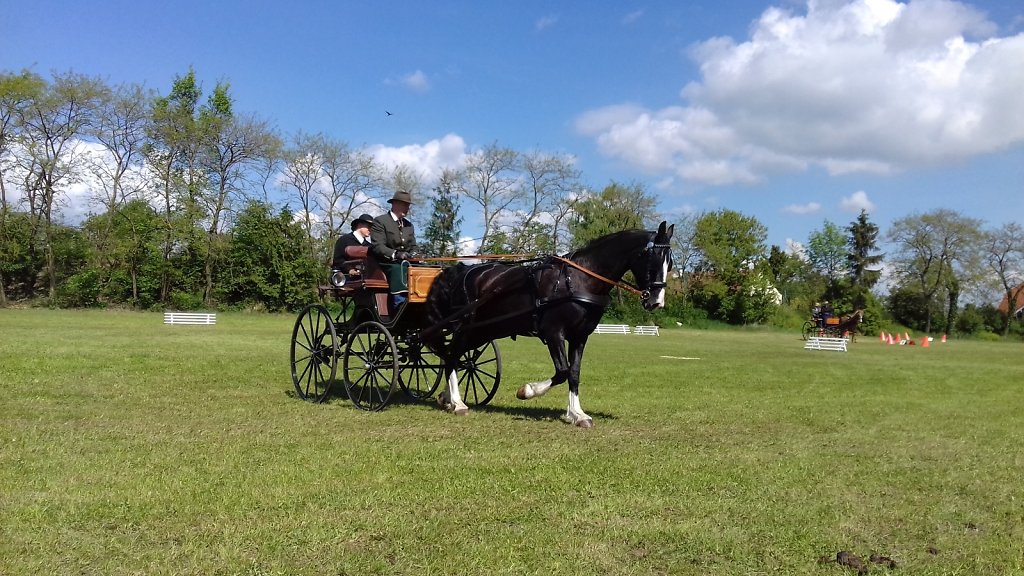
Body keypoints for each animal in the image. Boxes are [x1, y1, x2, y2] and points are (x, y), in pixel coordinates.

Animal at [419, 219, 675, 426]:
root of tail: (462, 271)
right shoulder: (554, 333)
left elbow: (574, 373)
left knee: (454, 357)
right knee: (452, 357)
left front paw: (577, 414)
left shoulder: (580, 337)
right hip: (464, 328)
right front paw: (527, 391)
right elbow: (562, 372)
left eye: (670, 263)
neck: (579, 279)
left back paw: (446, 398)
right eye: (653, 258)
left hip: (482, 331)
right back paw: (458, 403)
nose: (656, 302)